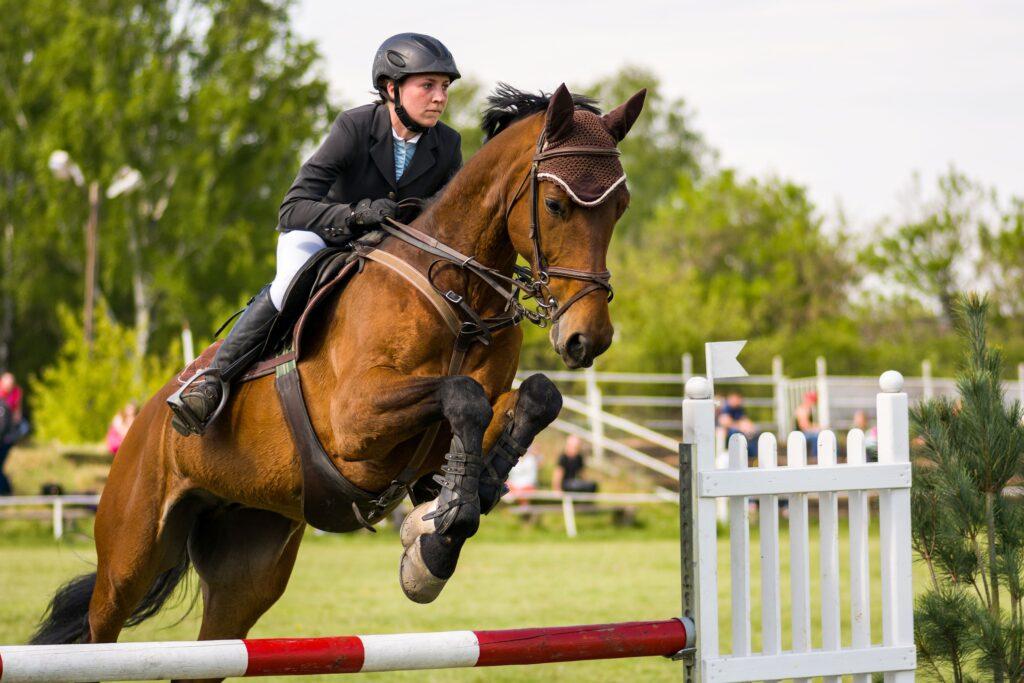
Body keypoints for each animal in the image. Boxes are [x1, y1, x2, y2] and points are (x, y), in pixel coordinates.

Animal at [30, 83, 646, 675]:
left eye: (620, 208)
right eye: (555, 204)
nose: (587, 338)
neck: (457, 292)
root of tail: (147, 413)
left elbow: (533, 398)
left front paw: (455, 512)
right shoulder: (354, 423)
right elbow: (463, 396)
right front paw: (442, 529)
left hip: (247, 566)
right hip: (130, 555)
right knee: (100, 627)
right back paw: (200, 396)